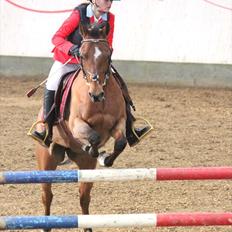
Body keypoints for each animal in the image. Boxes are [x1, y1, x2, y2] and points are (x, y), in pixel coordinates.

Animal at [35, 22, 127, 232]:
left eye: (108, 54)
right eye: (82, 55)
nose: (96, 94)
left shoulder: (118, 123)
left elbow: (120, 142)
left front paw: (105, 158)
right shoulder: (76, 123)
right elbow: (93, 137)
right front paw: (93, 149)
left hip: (85, 168)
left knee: (84, 197)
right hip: (46, 162)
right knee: (47, 195)